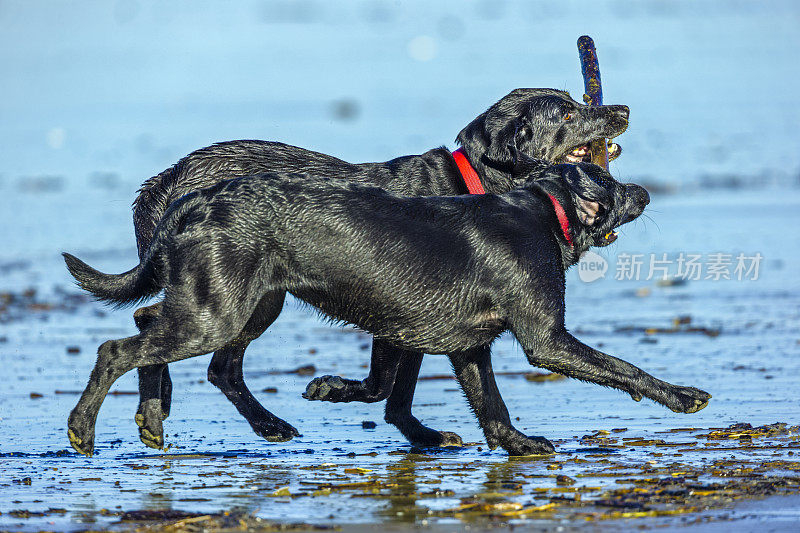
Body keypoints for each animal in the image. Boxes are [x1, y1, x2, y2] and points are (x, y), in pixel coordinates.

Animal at [64, 156, 712, 456]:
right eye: (610, 180)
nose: (644, 190)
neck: (543, 210)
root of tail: (191, 202)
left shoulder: (470, 346)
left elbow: (491, 406)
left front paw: (518, 446)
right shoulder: (545, 339)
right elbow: (621, 368)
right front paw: (683, 396)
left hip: (241, 305)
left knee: (153, 330)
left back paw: (155, 418)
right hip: (217, 313)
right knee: (116, 347)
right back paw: (82, 430)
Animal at [123, 86, 632, 448]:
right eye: (566, 115)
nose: (623, 110)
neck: (474, 183)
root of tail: (164, 183)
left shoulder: (420, 318)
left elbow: (398, 390)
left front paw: (419, 435)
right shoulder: (405, 312)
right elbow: (385, 384)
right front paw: (341, 393)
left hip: (251, 296)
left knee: (183, 342)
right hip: (245, 297)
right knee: (185, 343)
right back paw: (183, 412)